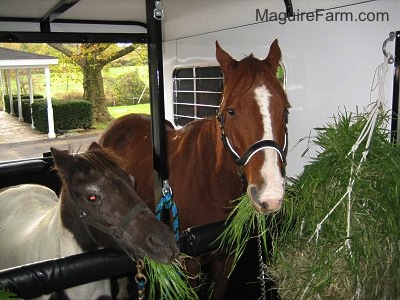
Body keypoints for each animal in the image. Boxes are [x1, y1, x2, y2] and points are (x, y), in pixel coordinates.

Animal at [98, 40, 290, 300]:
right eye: (231, 111)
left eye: (285, 110)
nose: (270, 194)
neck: (210, 182)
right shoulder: (190, 265)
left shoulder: (226, 258)